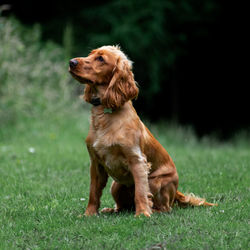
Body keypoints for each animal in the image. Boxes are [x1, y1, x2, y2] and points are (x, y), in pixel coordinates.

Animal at [68, 45, 215, 217]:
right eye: (90, 54)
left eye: (101, 59)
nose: (71, 62)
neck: (105, 113)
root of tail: (177, 191)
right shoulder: (95, 163)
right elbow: (93, 192)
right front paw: (89, 214)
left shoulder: (137, 161)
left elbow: (140, 192)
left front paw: (143, 213)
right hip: (116, 186)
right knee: (123, 207)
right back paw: (111, 210)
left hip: (156, 181)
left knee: (165, 207)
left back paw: (152, 211)